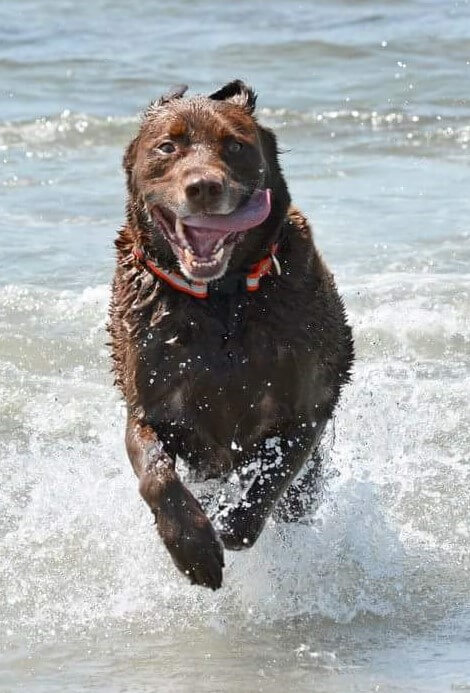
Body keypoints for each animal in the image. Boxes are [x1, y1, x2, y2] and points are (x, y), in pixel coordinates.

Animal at [108, 82, 352, 588]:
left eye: (235, 146)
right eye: (167, 146)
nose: (204, 187)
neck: (220, 298)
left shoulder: (305, 411)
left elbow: (272, 476)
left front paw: (229, 525)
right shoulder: (150, 403)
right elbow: (154, 472)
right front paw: (194, 549)